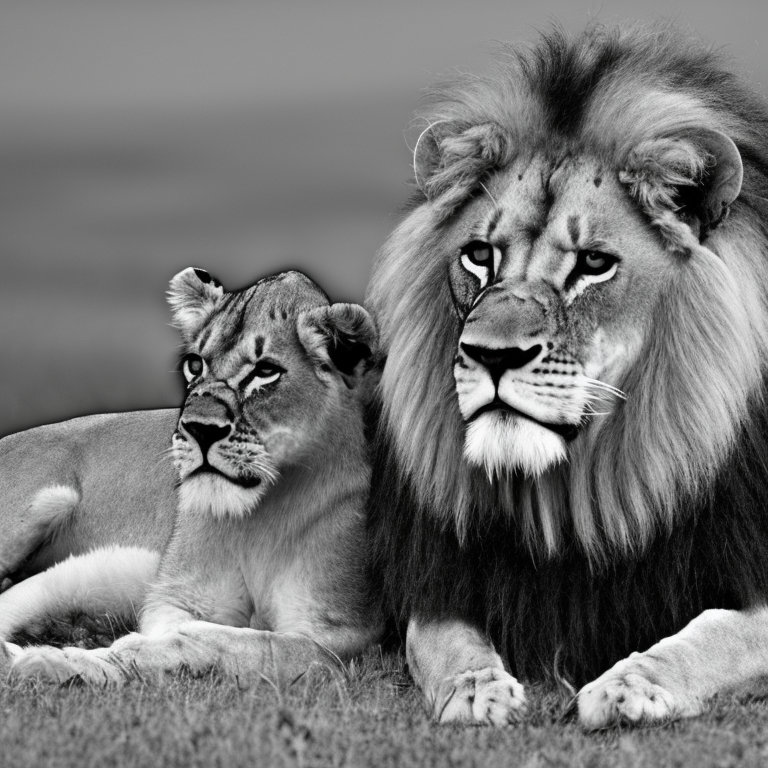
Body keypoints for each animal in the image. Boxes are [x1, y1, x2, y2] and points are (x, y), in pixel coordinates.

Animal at [0, 266, 382, 684]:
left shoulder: (336, 642)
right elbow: (185, 635)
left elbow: (238, 645)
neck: (259, 516)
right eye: (195, 365)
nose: (198, 429)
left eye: (265, 372)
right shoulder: (180, 597)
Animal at [365, 22, 768, 728]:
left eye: (594, 264)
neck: (570, 494)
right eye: (479, 255)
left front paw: (630, 684)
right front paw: (475, 687)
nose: (493, 356)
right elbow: (440, 637)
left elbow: (718, 632)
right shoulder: (440, 578)